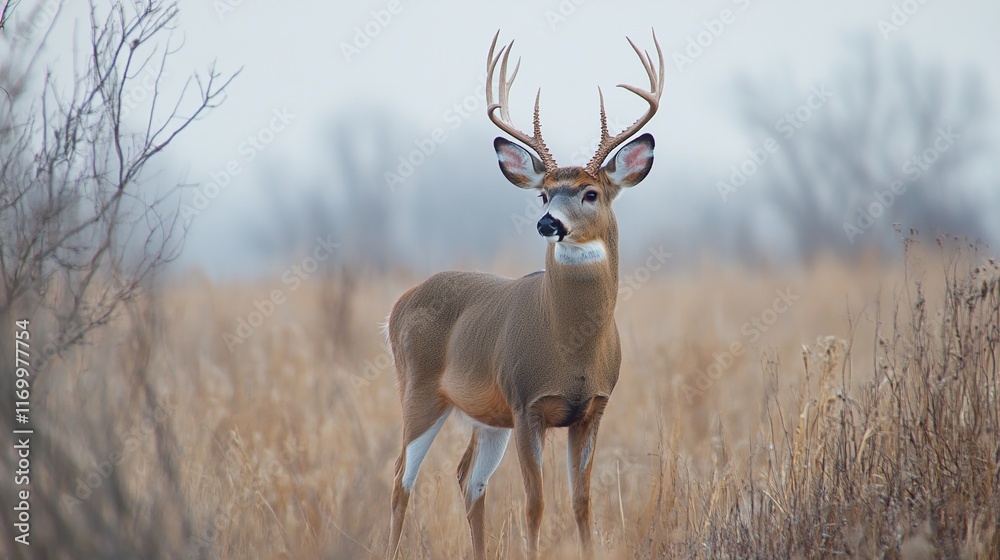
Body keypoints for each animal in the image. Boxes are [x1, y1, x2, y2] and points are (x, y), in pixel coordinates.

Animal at [386, 30, 663, 560]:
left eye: (591, 193)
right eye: (543, 194)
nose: (547, 223)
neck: (571, 349)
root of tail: (398, 304)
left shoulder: (592, 409)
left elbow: (581, 504)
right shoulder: (526, 402)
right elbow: (535, 505)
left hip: (487, 416)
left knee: (468, 478)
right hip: (420, 390)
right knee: (400, 481)